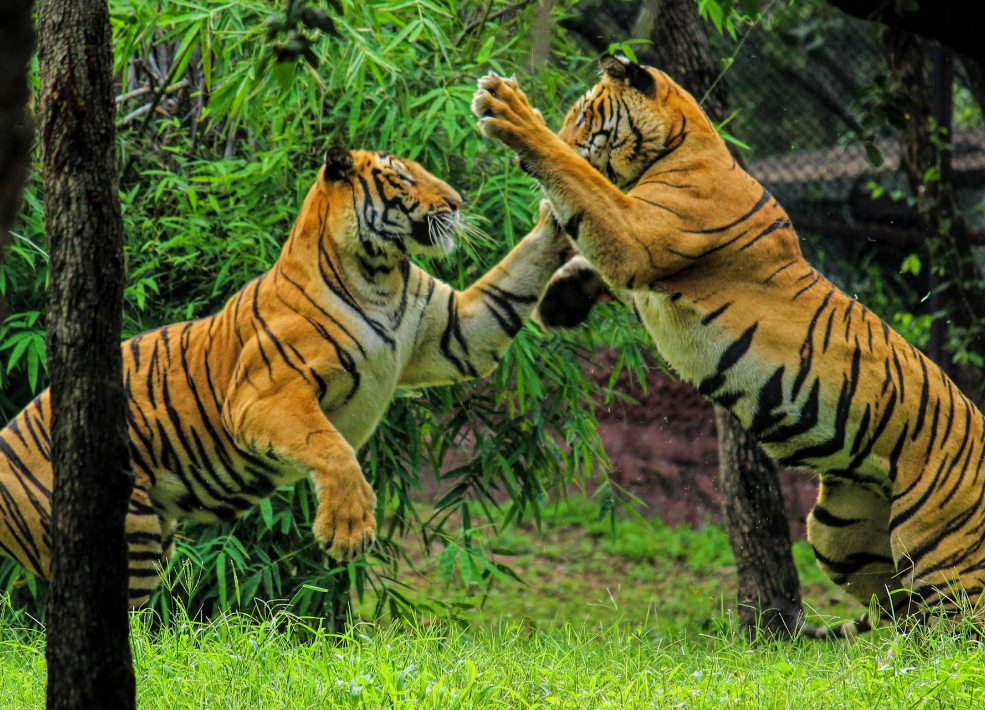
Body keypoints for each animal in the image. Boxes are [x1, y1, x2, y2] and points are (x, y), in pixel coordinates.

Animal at [0, 147, 568, 608]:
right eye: (402, 178)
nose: (457, 201)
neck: (381, 274)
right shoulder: (266, 395)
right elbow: (330, 446)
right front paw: (347, 530)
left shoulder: (457, 332)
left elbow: (513, 280)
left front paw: (557, 215)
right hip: (126, 533)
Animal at [468, 52, 984, 636]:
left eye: (581, 117)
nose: (553, 133)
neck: (680, 145)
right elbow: (589, 252)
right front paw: (560, 300)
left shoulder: (637, 233)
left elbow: (580, 182)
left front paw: (509, 112)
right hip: (838, 534)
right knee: (902, 611)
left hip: (939, 548)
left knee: (958, 626)